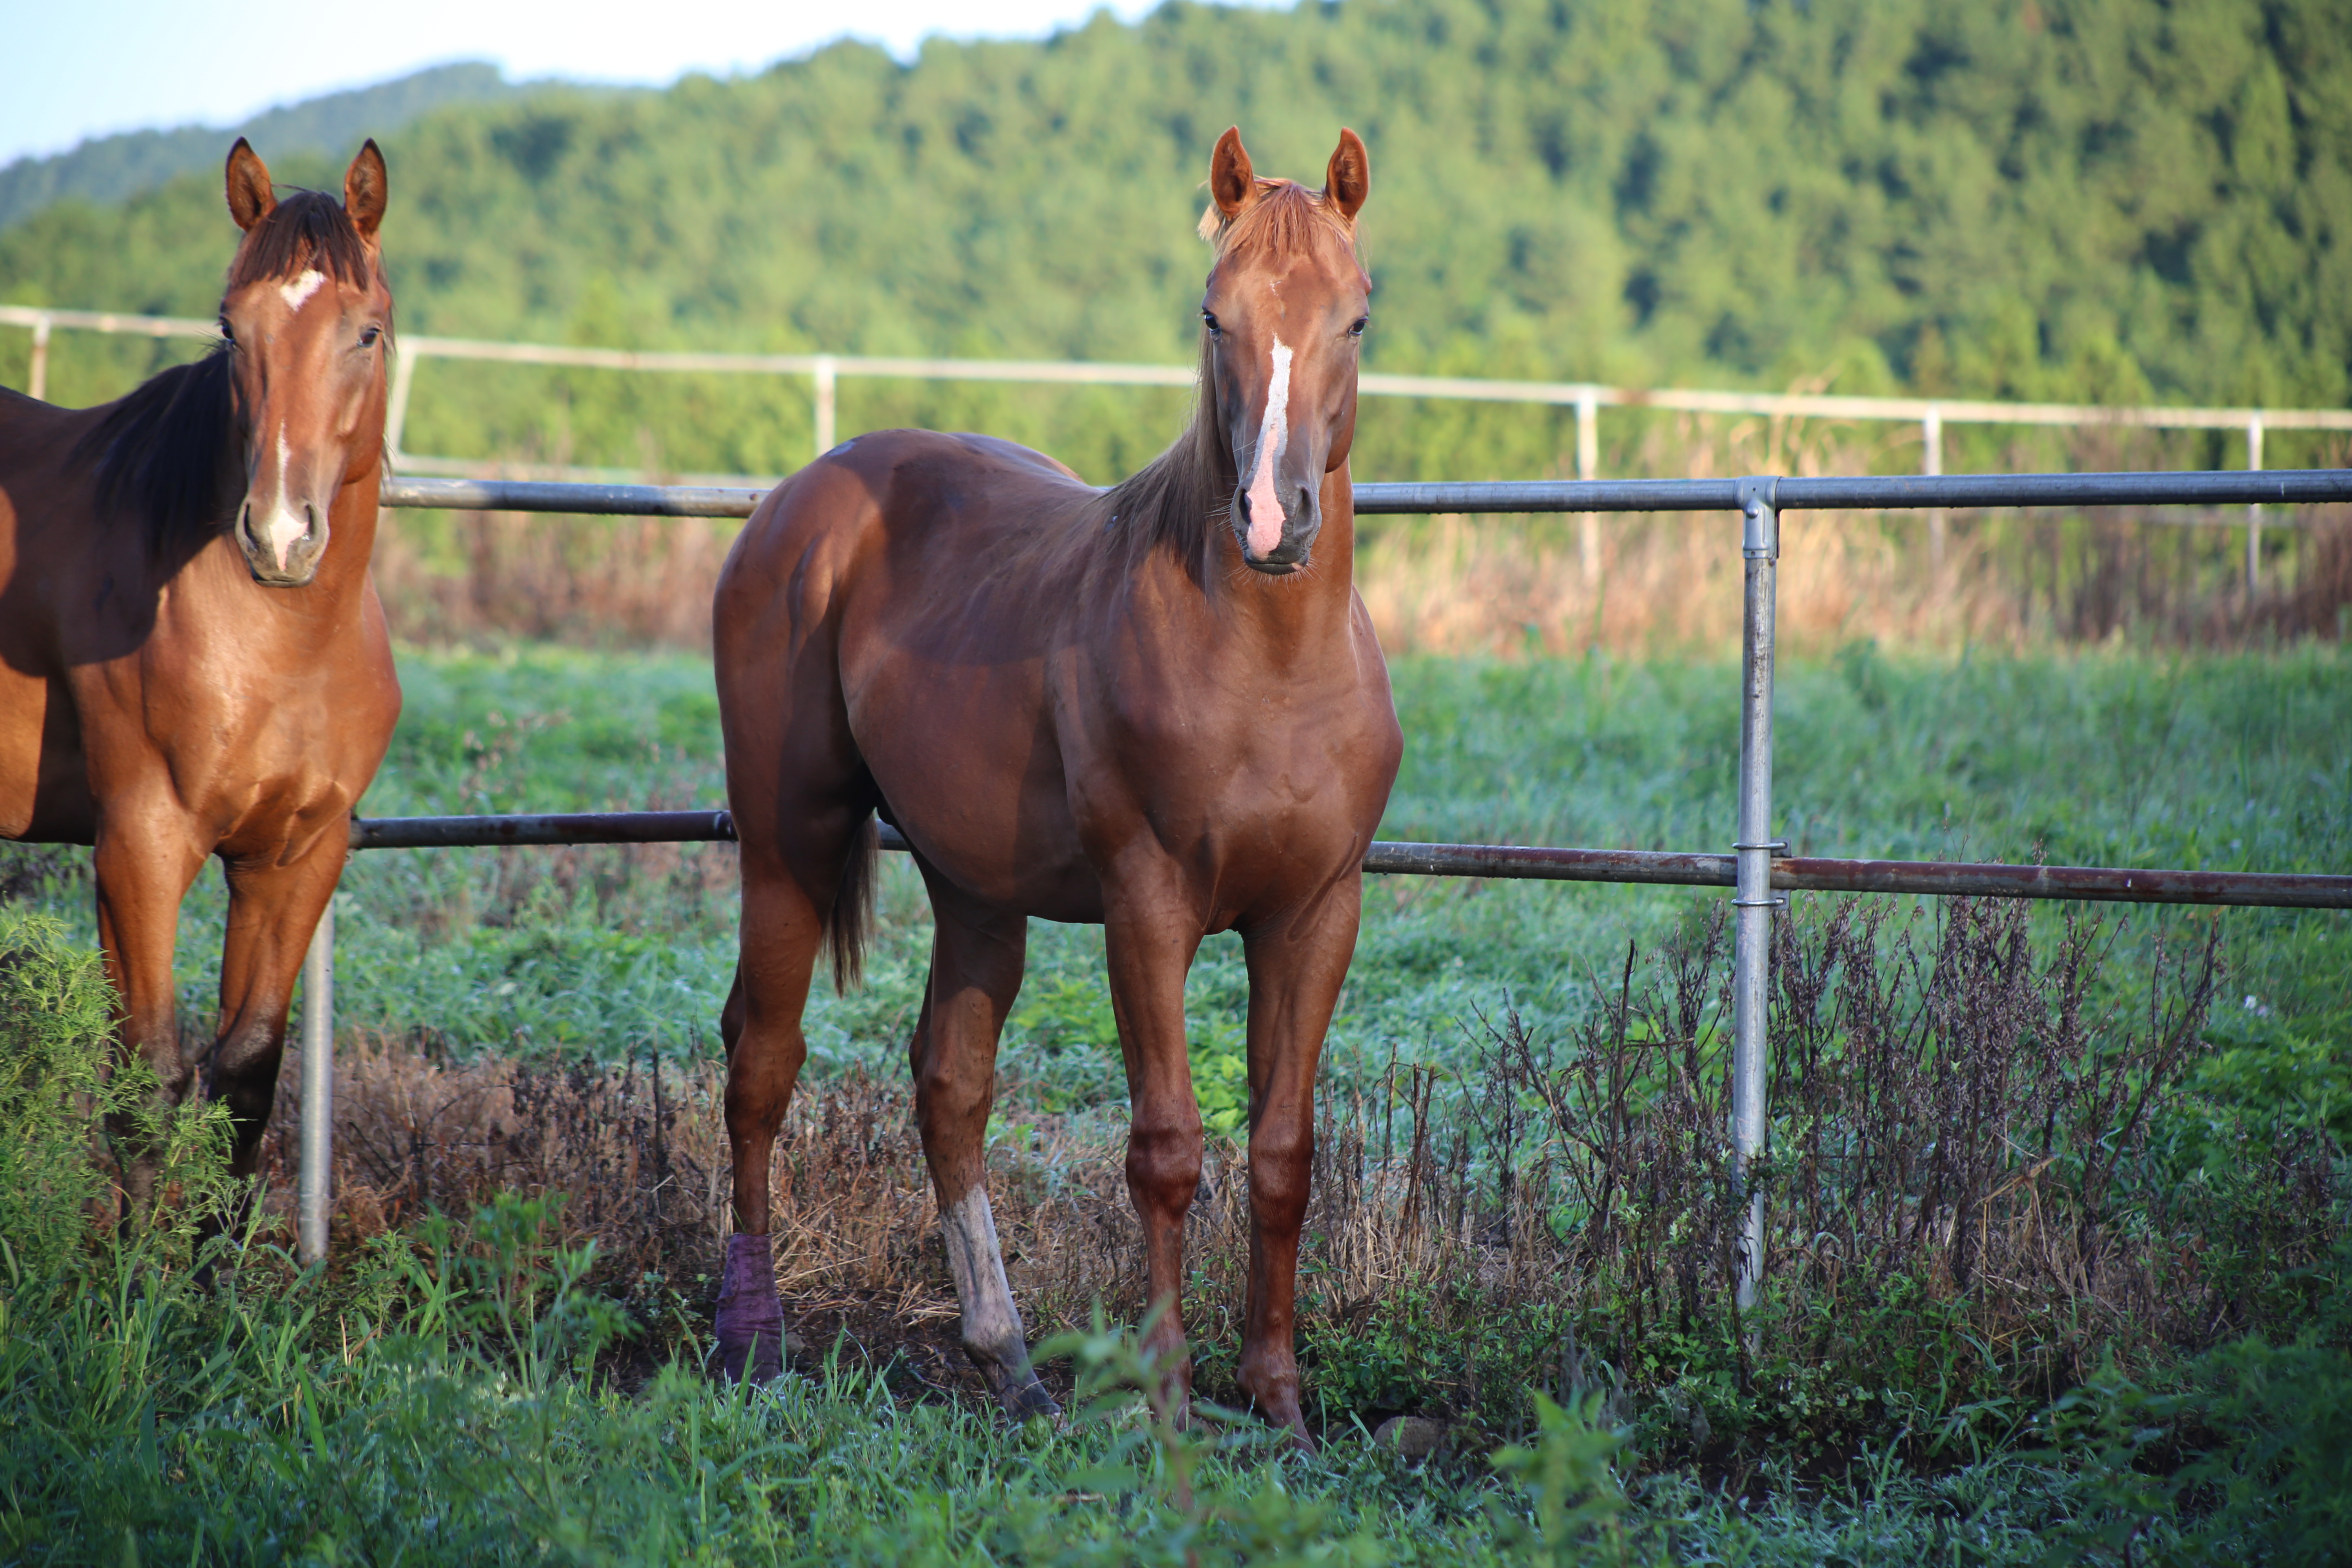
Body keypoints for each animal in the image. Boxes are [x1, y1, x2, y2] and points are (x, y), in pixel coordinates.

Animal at [0, 141, 402, 1213]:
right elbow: (146, 1082)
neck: (279, 645)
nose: (279, 534)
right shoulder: (140, 846)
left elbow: (246, 1085)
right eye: (232, 328)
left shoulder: (292, 860)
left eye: (367, 332)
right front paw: (139, 1267)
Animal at [710, 129, 1392, 1439]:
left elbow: (1283, 1154)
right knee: (760, 1064)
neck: (1272, 666)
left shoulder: (1315, 914)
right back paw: (753, 1346)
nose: (1270, 518)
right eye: (1214, 314)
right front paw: (1169, 1401)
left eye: (1357, 316)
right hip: (789, 847)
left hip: (976, 887)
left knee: (948, 1085)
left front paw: (1279, 1402)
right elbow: (1167, 1149)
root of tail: (797, 501)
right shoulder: (1148, 908)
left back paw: (1008, 1359)